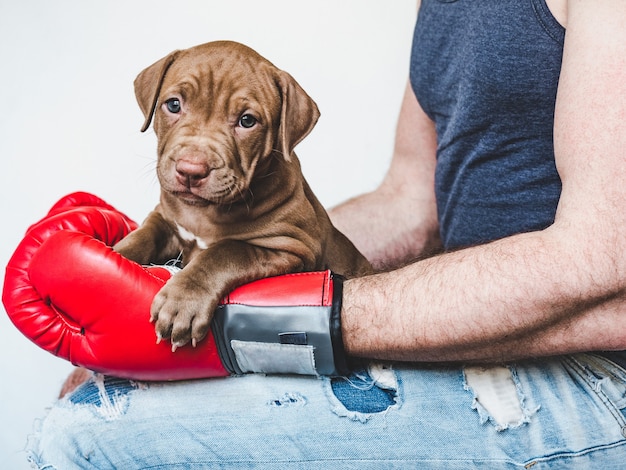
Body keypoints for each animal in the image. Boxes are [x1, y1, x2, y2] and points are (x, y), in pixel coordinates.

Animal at [115, 41, 370, 348]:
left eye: (247, 121)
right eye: (174, 105)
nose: (191, 170)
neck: (204, 213)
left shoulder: (292, 247)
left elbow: (225, 251)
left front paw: (182, 300)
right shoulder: (167, 219)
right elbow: (144, 235)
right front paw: (111, 260)